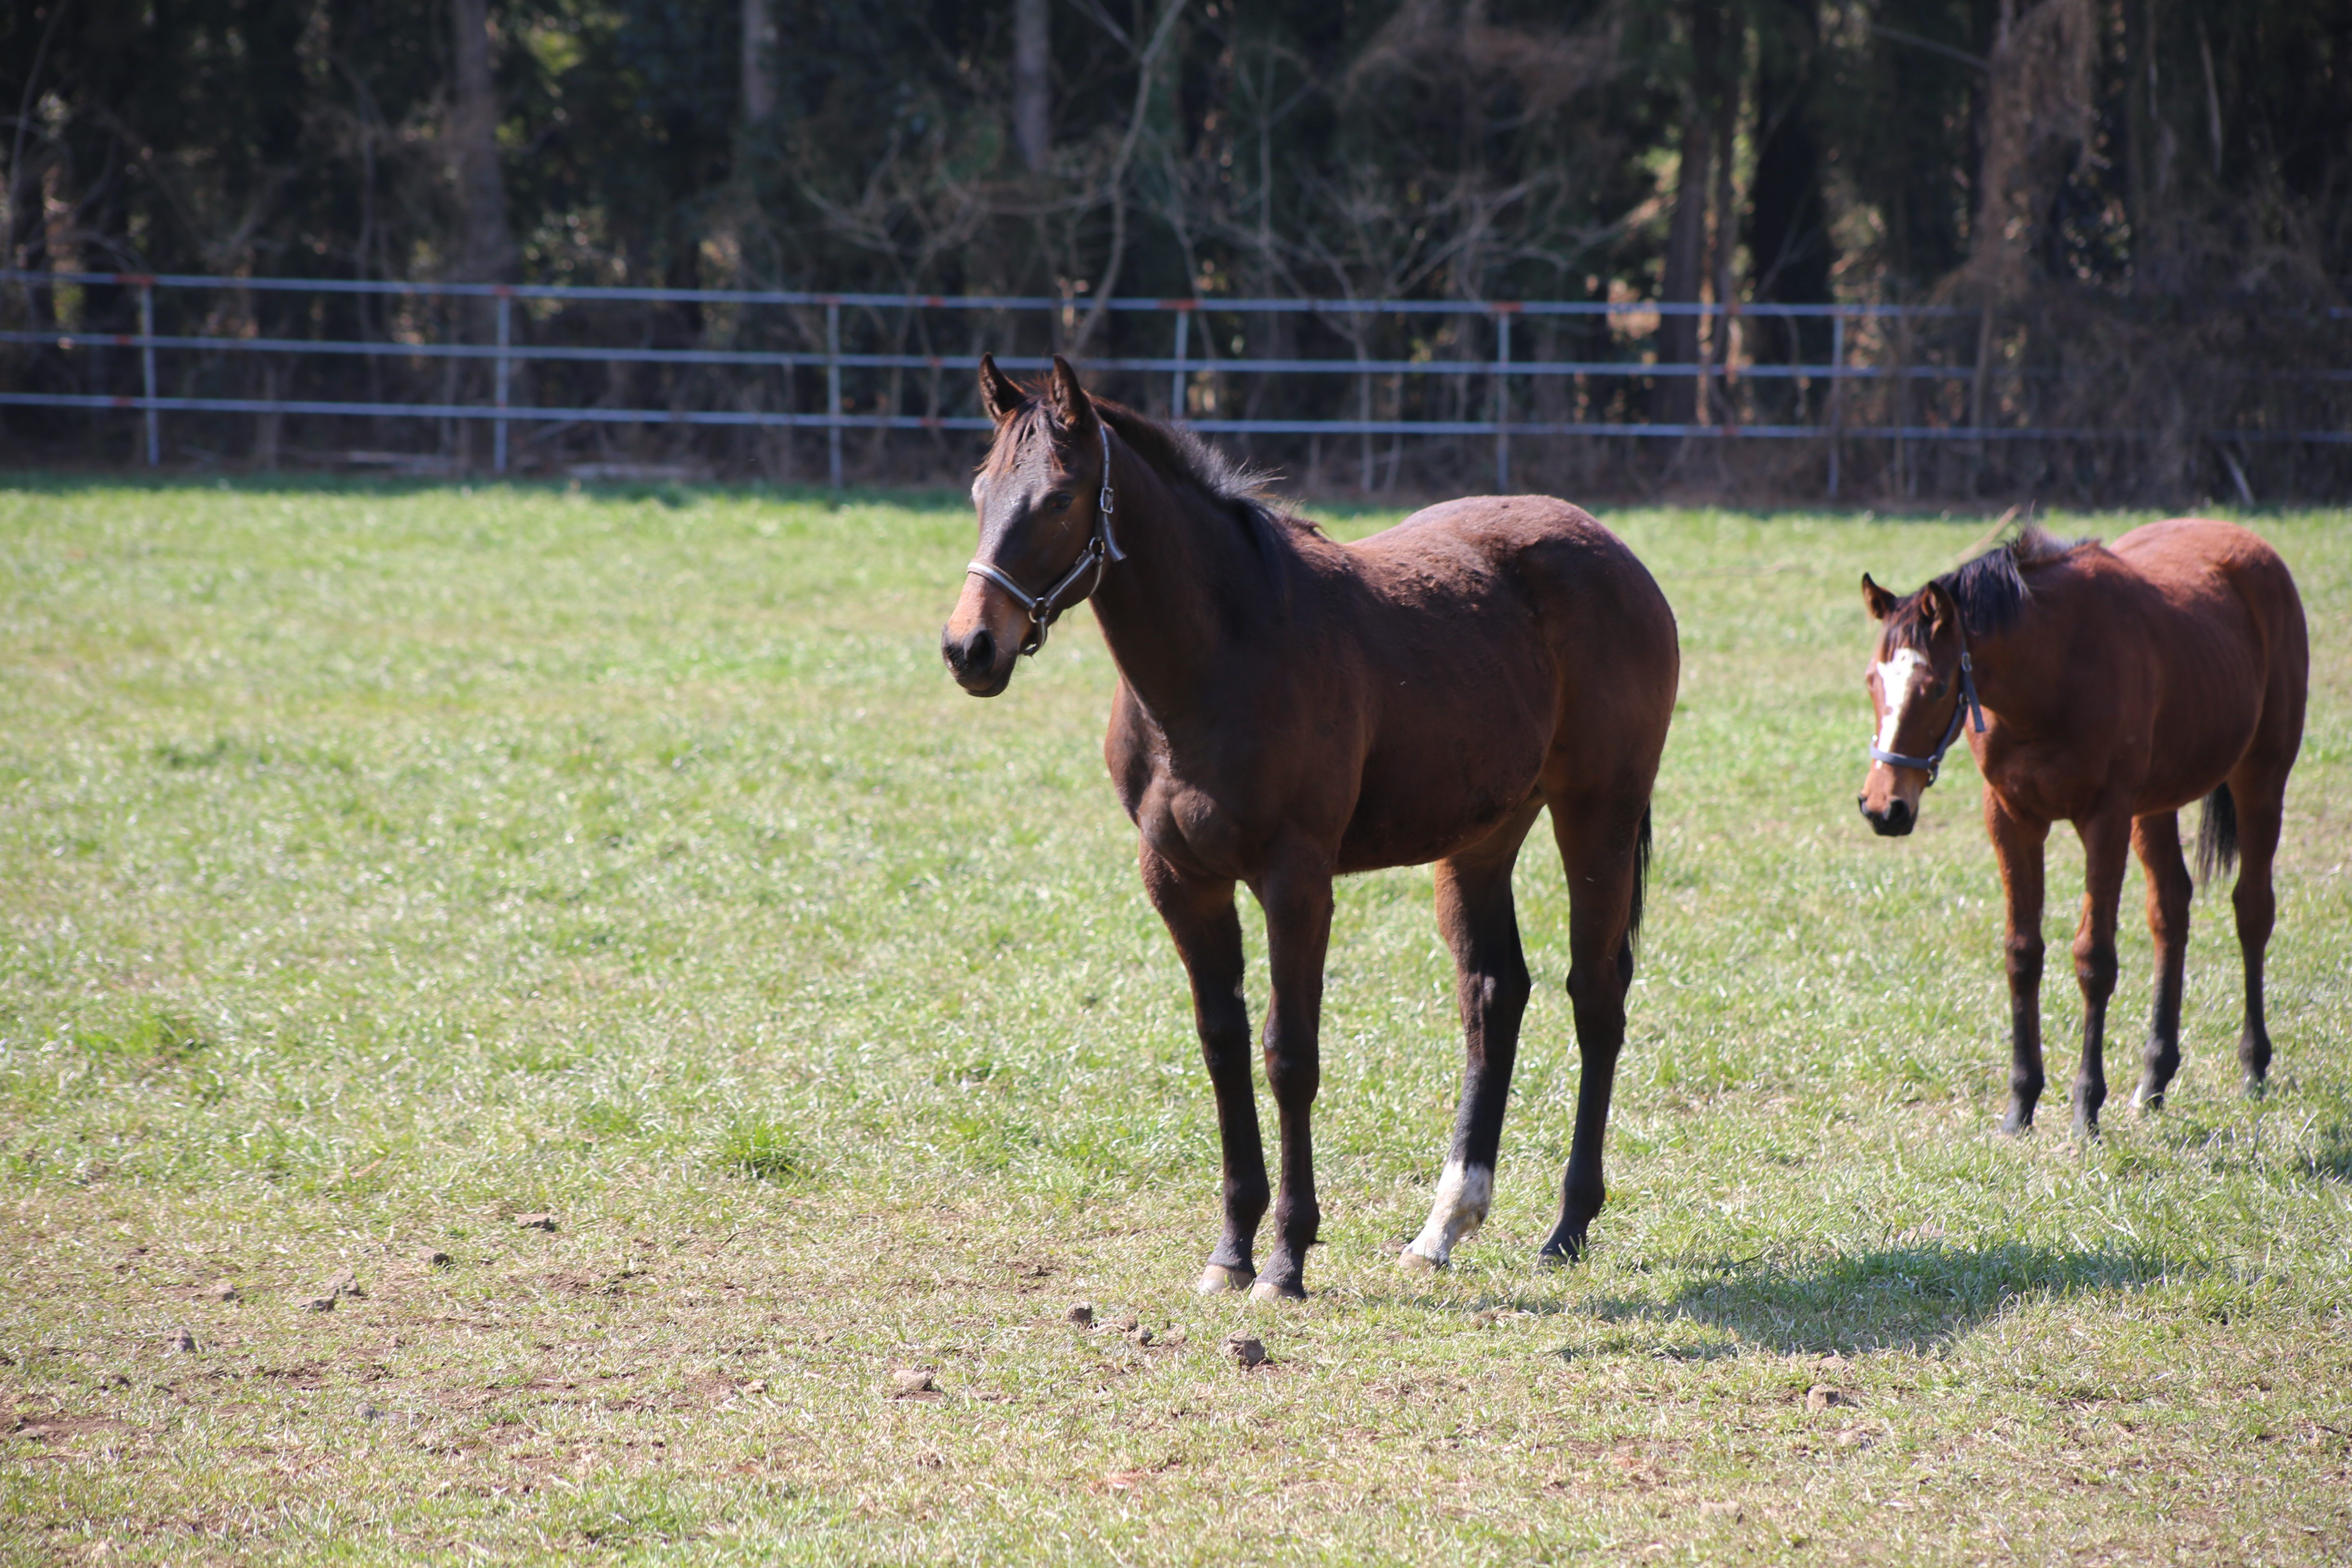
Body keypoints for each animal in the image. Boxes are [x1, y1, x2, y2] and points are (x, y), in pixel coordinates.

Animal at [936, 355, 1675, 1297]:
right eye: (979, 489)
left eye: (1060, 498)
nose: (970, 649)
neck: (1223, 658)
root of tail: (1617, 553)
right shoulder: (1180, 880)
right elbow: (1223, 1047)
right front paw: (1231, 1252)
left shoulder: (1296, 881)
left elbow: (1290, 1055)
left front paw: (1287, 1257)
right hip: (1481, 840)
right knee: (1494, 993)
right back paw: (1445, 1225)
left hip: (1599, 817)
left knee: (1597, 999)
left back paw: (1569, 1225)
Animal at [1862, 526, 2305, 1142]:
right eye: (1871, 680)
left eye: (1935, 685)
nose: (1885, 808)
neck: (2050, 674)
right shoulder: (2011, 818)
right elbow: (2023, 953)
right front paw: (2020, 1106)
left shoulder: (2105, 818)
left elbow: (2094, 959)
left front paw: (2085, 1110)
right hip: (2156, 806)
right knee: (2171, 910)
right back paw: (2154, 1079)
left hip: (2260, 777)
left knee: (2253, 911)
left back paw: (2253, 1067)